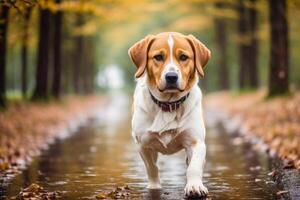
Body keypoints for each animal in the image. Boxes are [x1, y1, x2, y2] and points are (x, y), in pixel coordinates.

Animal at [128, 32, 211, 198]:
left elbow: (194, 167)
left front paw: (194, 186)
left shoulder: (196, 142)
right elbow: (152, 168)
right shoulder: (143, 145)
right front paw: (154, 187)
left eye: (184, 57)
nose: (171, 76)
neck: (169, 105)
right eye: (158, 57)